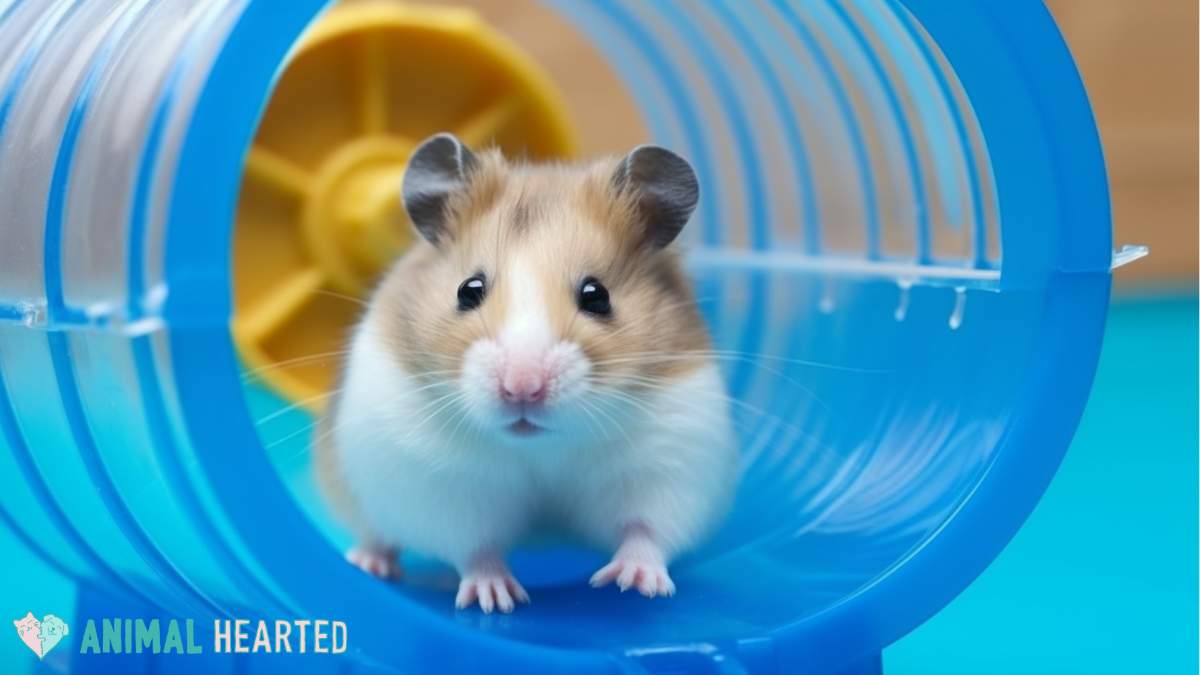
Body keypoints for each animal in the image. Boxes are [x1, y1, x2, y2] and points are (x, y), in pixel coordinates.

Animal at [314, 131, 734, 610]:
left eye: (597, 295)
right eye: (468, 290)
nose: (522, 389)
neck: (540, 448)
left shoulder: (668, 464)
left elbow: (646, 529)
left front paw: (635, 583)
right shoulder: (439, 485)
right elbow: (474, 546)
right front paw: (496, 599)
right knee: (376, 534)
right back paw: (369, 564)